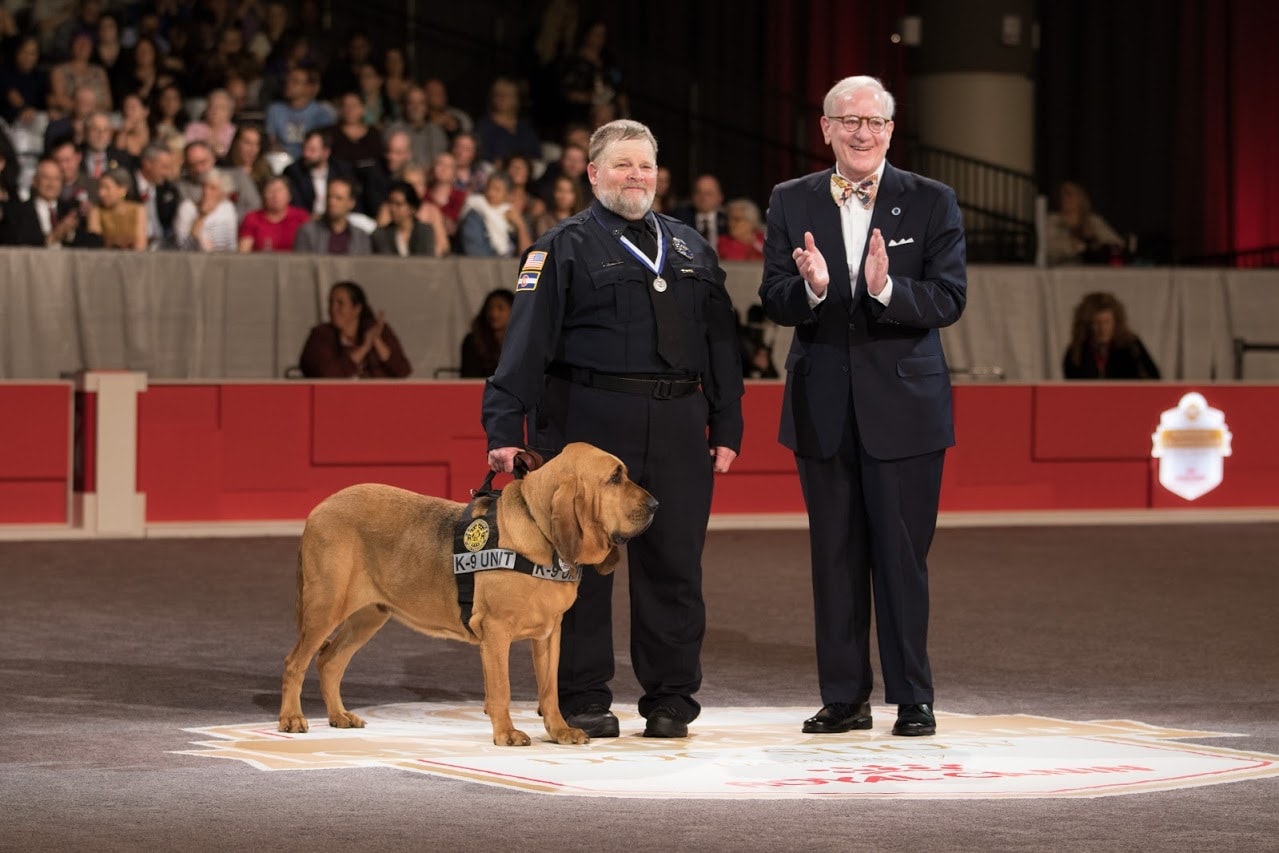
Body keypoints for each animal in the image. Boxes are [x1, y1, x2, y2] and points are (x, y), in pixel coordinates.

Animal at [281, 445, 659, 741]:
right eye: (615, 478)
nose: (656, 504)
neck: (540, 530)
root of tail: (318, 509)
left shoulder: (549, 634)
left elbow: (549, 689)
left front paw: (559, 731)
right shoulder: (496, 631)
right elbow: (502, 689)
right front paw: (507, 734)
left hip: (368, 616)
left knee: (330, 660)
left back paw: (339, 716)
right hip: (325, 607)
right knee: (296, 662)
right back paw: (292, 718)